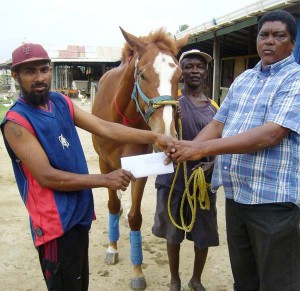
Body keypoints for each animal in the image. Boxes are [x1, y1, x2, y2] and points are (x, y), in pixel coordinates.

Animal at [92, 26, 189, 290]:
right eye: (143, 76)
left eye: (180, 77)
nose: (167, 134)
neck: (121, 117)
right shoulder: (105, 164)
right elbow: (112, 205)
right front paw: (112, 249)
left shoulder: (140, 167)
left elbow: (135, 217)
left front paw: (137, 271)